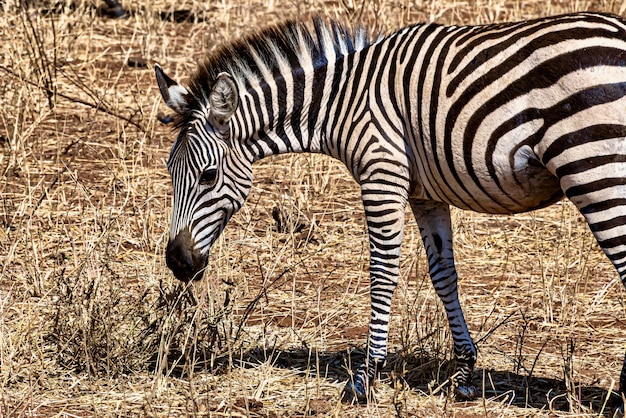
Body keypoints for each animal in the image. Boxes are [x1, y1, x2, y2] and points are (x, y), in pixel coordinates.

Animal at [157, 12, 626, 404]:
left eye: (208, 176)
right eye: (170, 171)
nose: (178, 262)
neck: (340, 101)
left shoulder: (381, 175)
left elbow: (382, 274)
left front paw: (365, 378)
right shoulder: (425, 193)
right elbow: (443, 275)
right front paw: (464, 374)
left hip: (596, 171)